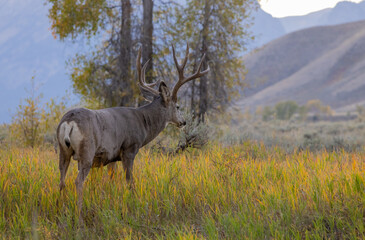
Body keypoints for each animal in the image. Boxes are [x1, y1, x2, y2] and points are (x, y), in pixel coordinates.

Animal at [55, 43, 209, 221]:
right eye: (177, 106)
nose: (183, 122)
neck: (142, 122)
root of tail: (69, 121)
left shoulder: (111, 157)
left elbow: (112, 181)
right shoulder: (129, 149)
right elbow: (130, 182)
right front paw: (134, 206)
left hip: (63, 151)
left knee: (62, 180)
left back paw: (60, 211)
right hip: (86, 151)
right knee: (78, 181)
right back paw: (79, 217)